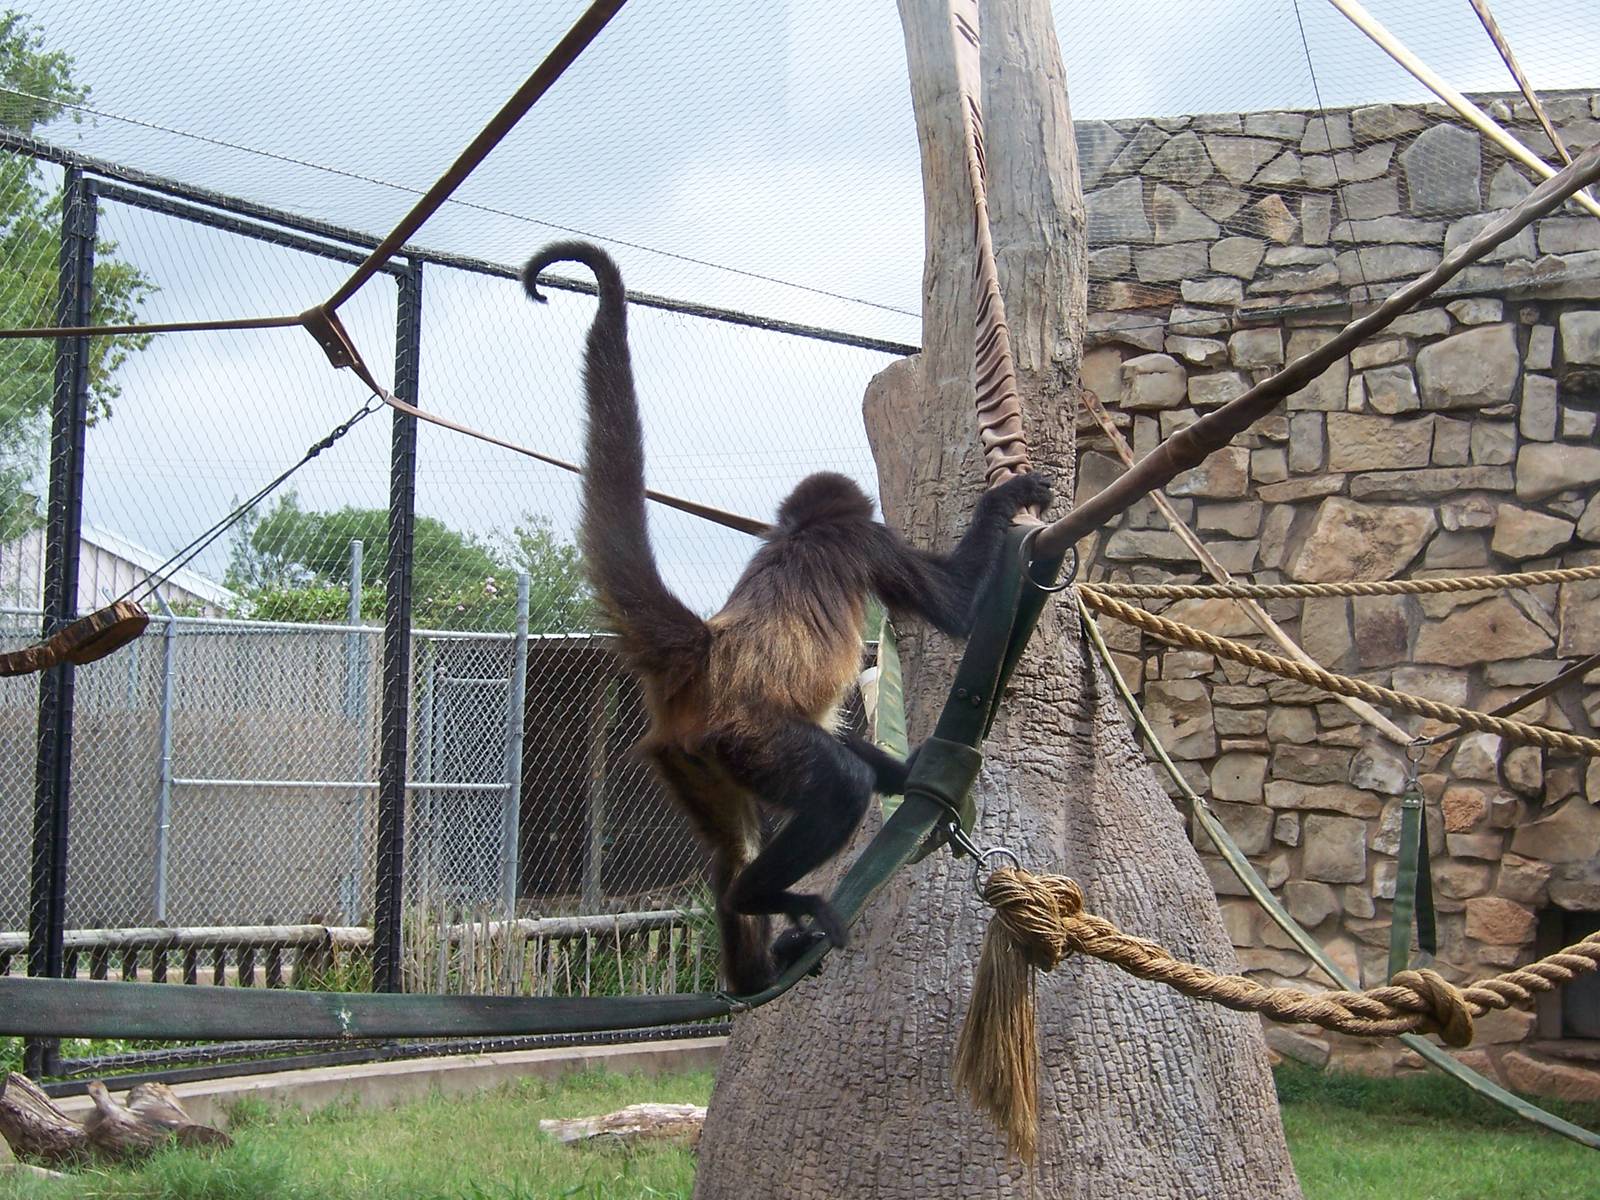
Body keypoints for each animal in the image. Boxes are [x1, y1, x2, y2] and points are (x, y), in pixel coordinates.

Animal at [522, 240, 1052, 994]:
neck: (799, 530)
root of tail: (704, 650)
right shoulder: (864, 540)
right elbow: (952, 608)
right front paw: (1005, 505)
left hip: (692, 758)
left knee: (741, 841)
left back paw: (754, 963)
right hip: (748, 737)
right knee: (839, 784)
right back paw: (762, 896)